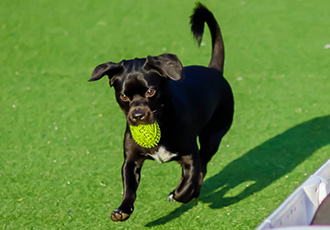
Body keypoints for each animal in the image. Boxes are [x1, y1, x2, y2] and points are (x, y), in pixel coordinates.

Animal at [88, 2, 232, 222]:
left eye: (150, 91)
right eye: (124, 96)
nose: (138, 116)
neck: (162, 123)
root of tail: (214, 70)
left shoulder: (190, 156)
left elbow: (189, 181)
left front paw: (180, 194)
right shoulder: (130, 161)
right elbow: (129, 188)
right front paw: (122, 210)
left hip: (212, 138)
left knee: (202, 167)